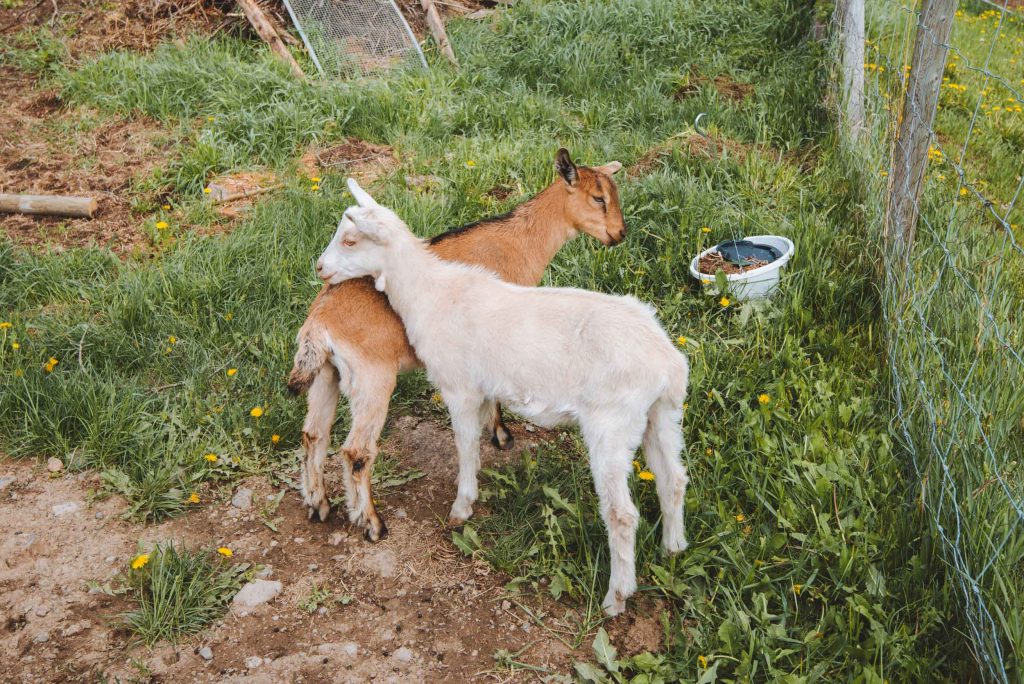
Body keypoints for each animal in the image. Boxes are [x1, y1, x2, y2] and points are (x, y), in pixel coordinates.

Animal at [288, 149, 622, 540]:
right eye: (598, 198)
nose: (619, 233)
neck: (520, 241)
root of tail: (318, 322)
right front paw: (502, 436)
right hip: (372, 377)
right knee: (356, 450)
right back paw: (373, 523)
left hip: (327, 374)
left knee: (314, 434)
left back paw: (318, 505)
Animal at [315, 178, 692, 614]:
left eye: (351, 240)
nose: (319, 268)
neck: (430, 292)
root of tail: (666, 362)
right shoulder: (481, 388)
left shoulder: (459, 387)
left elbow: (465, 446)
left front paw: (462, 508)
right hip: (661, 415)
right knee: (673, 480)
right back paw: (673, 549)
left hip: (611, 424)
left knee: (622, 514)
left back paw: (616, 596)